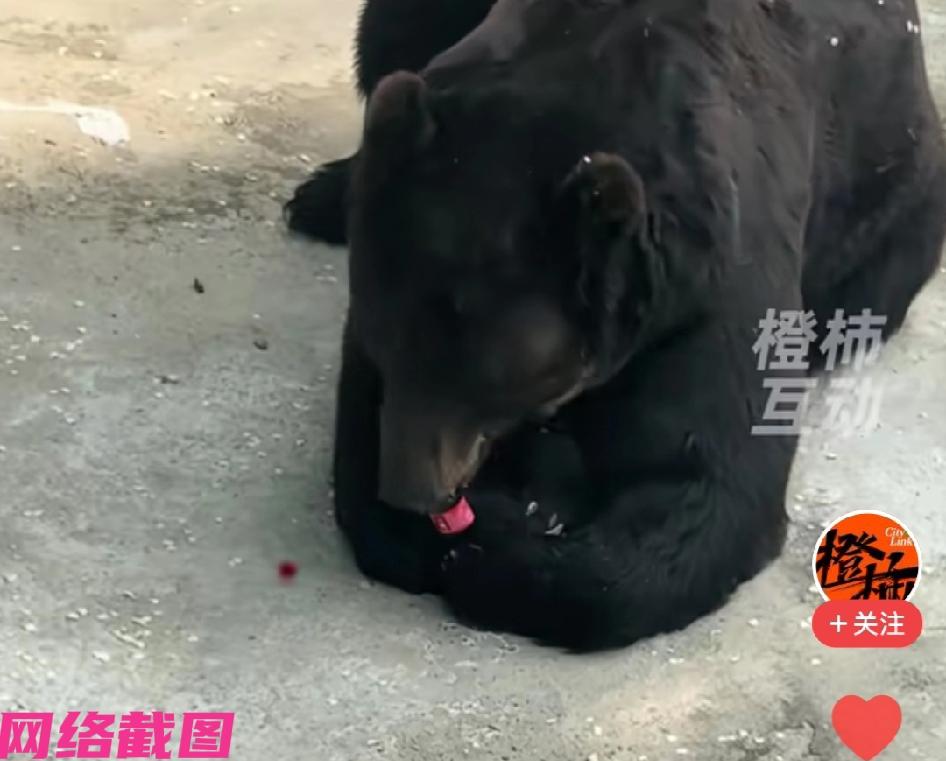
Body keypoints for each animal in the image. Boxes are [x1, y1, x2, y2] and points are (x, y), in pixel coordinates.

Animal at [287, 0, 946, 651]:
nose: (413, 490)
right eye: (386, 345)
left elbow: (706, 485)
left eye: (488, 383)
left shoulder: (715, 279)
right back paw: (322, 194)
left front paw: (496, 545)